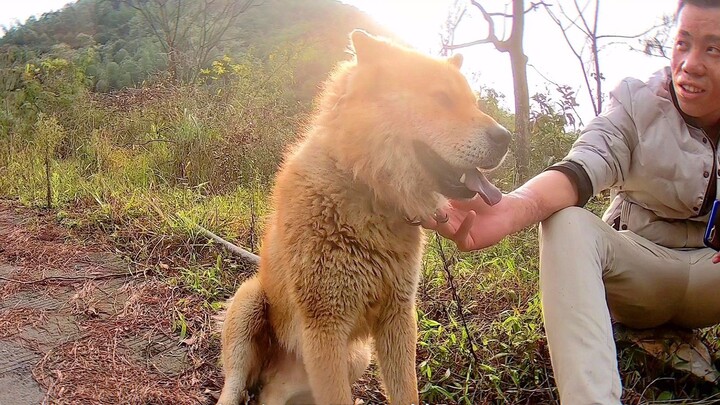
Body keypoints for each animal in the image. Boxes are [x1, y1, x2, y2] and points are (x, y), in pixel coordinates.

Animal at [217, 30, 510, 404]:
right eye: (442, 98)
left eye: (473, 102)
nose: (506, 137)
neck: (364, 186)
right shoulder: (325, 326)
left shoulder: (398, 318)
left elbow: (406, 392)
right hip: (249, 303)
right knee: (237, 386)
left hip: (354, 357)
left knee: (272, 392)